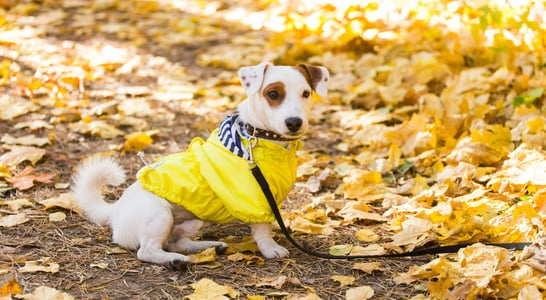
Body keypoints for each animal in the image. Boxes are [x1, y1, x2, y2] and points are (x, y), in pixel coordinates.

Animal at [71, 62, 328, 268]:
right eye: (273, 93)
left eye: (306, 93)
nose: (294, 122)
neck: (263, 139)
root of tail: (115, 210)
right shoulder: (256, 200)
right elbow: (263, 228)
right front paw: (270, 247)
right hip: (159, 214)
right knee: (148, 250)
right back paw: (174, 261)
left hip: (194, 219)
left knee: (177, 242)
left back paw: (209, 247)